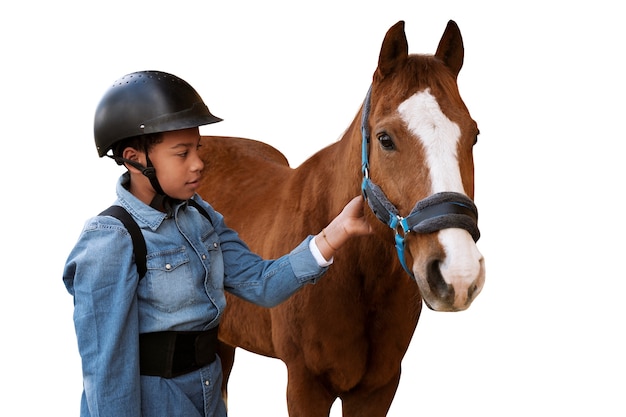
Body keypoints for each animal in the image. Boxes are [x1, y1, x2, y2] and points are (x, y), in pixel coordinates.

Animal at [196, 19, 482, 416]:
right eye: (385, 138)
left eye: (474, 136)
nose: (458, 273)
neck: (354, 271)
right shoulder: (306, 386)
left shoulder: (378, 388)